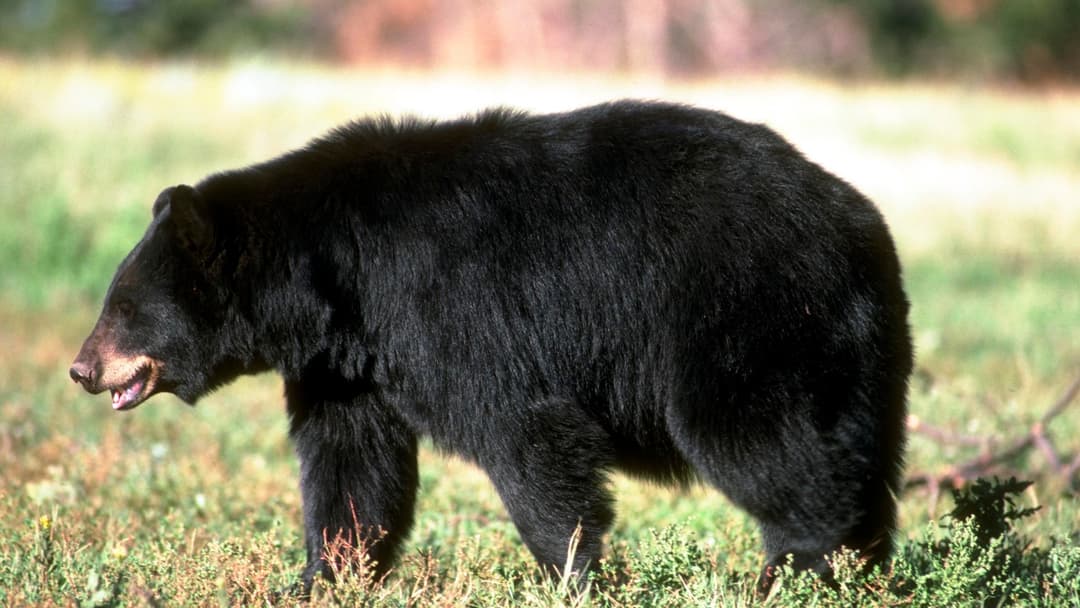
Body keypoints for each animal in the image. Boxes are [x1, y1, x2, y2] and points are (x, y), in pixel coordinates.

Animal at [70, 100, 912, 595]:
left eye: (125, 307)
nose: (82, 367)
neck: (337, 277)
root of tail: (860, 221)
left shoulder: (452, 306)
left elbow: (525, 433)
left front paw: (571, 575)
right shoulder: (347, 365)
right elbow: (352, 466)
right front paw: (321, 578)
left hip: (745, 313)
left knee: (762, 443)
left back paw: (798, 569)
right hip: (858, 351)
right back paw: (862, 567)